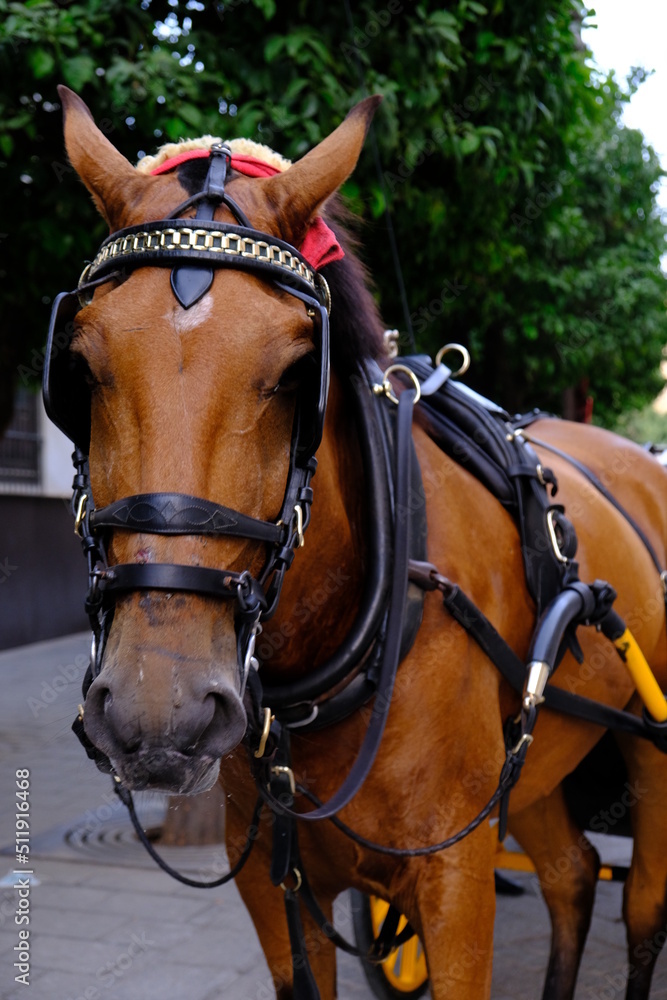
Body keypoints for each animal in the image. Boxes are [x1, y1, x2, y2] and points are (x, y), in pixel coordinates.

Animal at [48, 88, 667, 1000]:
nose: (157, 709)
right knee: (570, 873)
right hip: (536, 768)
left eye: (297, 372)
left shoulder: (453, 875)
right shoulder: (271, 882)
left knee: (642, 908)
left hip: (644, 754)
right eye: (81, 367)